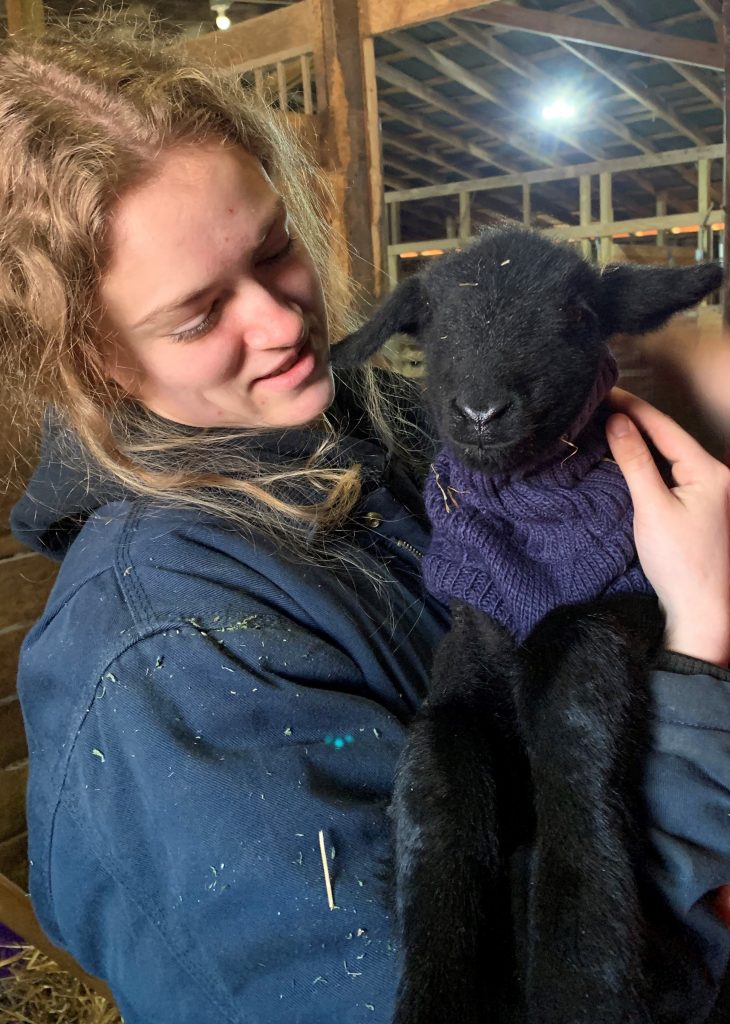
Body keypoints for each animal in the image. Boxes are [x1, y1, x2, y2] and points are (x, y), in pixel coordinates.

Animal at [329, 228, 724, 1024]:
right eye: (432, 321)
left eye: (577, 313)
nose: (481, 412)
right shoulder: (470, 638)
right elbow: (439, 763)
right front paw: (441, 986)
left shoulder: (619, 597)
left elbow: (569, 708)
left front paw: (585, 972)